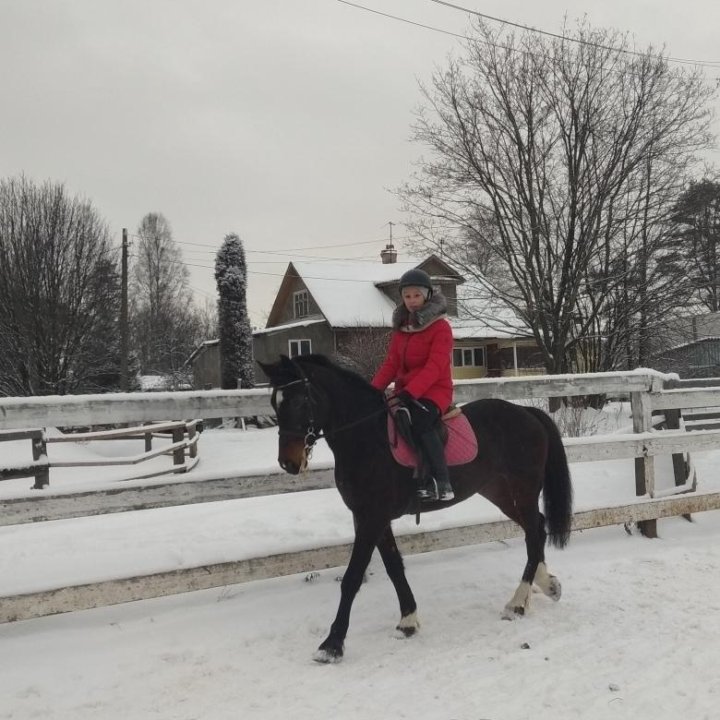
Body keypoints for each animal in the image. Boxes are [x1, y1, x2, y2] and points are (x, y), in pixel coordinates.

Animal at [258, 354, 572, 664]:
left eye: (300, 401)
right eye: (274, 402)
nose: (288, 462)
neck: (367, 438)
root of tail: (527, 412)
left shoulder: (372, 518)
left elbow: (352, 578)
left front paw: (332, 645)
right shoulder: (371, 518)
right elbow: (394, 567)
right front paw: (407, 621)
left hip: (523, 489)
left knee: (533, 532)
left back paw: (517, 603)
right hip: (500, 492)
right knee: (537, 528)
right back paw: (547, 585)